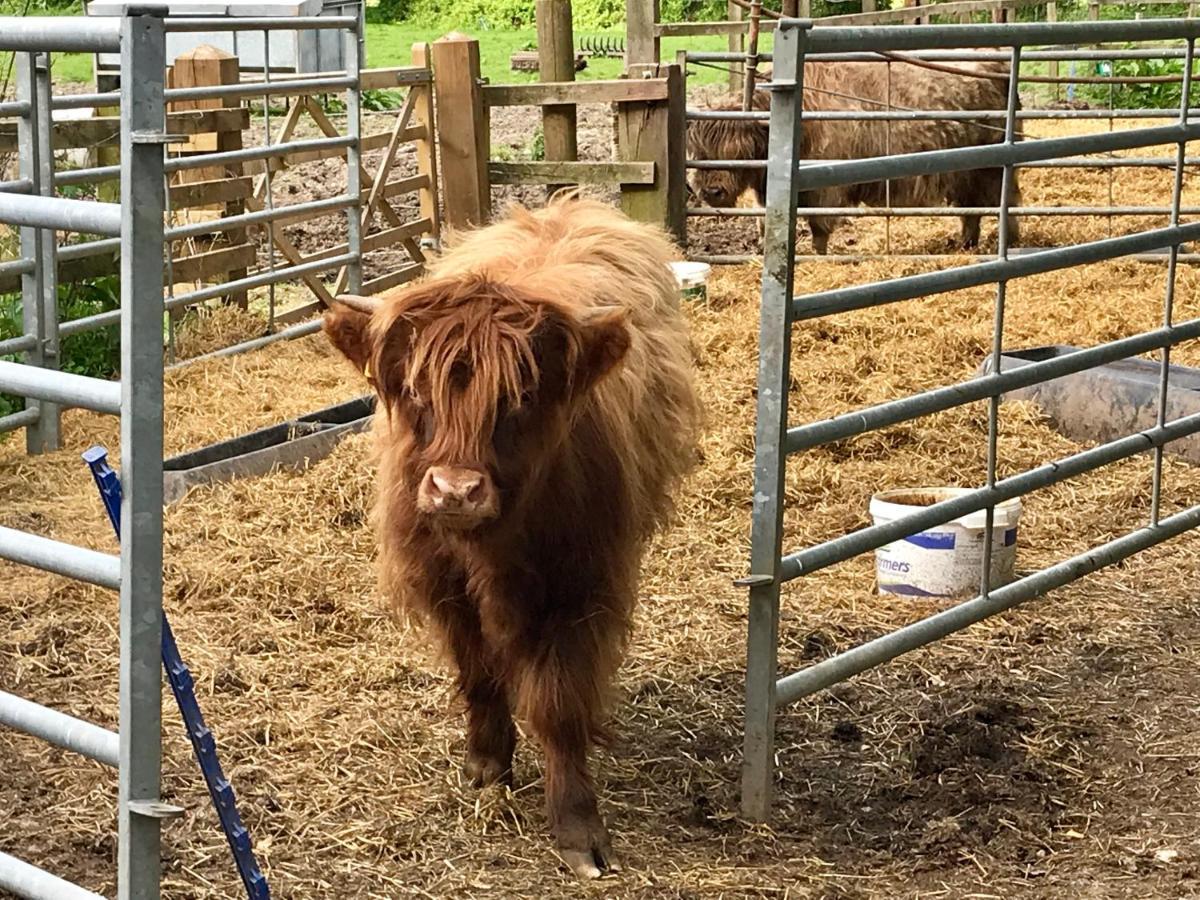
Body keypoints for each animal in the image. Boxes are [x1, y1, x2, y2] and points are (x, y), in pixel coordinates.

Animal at [321, 196, 700, 883]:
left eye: (520, 397)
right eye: (415, 390)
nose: (455, 490)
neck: (492, 551)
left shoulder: (580, 589)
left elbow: (560, 705)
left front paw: (577, 827)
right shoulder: (442, 584)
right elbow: (477, 673)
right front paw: (487, 762)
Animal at [686, 58, 1022, 254]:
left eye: (738, 151)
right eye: (699, 151)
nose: (712, 192)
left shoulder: (824, 190)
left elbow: (819, 229)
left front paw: (818, 257)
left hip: (995, 168)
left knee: (1008, 201)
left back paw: (1010, 242)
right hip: (968, 171)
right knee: (972, 208)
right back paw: (966, 244)